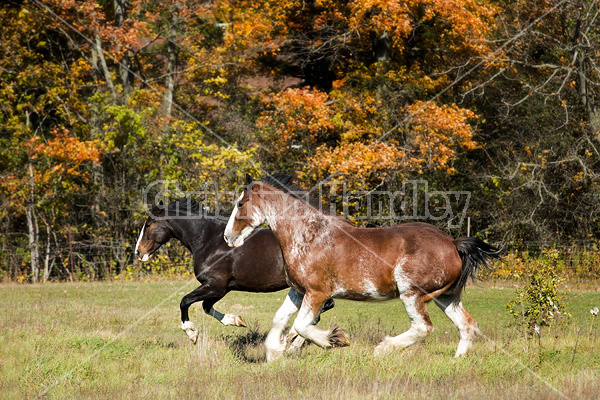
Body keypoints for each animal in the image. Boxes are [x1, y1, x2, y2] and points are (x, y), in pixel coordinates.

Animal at [134, 198, 336, 346]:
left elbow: (185, 301)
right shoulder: (222, 288)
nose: (138, 252)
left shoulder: (215, 286)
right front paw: (237, 320)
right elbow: (206, 307)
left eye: (149, 224)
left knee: (323, 308)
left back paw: (294, 336)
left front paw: (191, 333)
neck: (210, 240)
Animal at [223, 173, 500, 360]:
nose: (227, 237)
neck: (309, 235)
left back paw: (383, 349)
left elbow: (301, 327)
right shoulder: (298, 292)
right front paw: (275, 354)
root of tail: (453, 243)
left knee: (424, 327)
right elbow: (279, 320)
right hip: (446, 297)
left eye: (240, 204)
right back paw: (457, 360)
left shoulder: (317, 293)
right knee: (466, 324)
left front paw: (334, 339)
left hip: (413, 294)